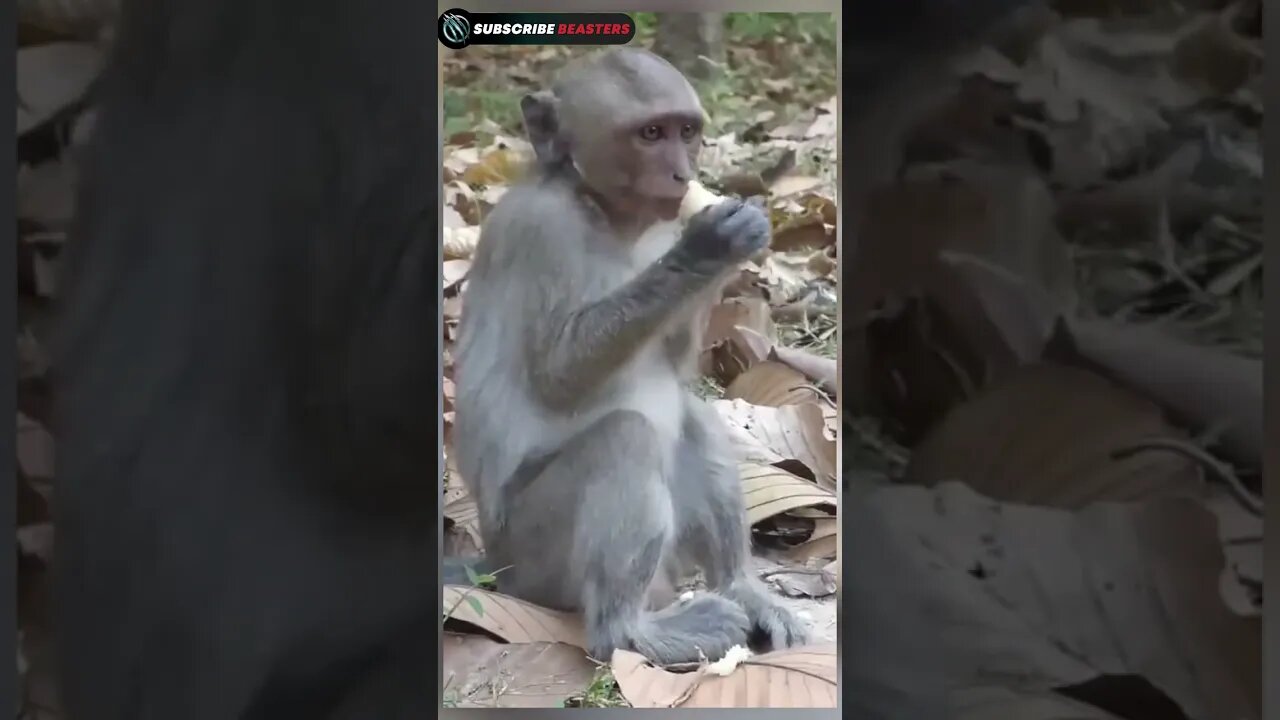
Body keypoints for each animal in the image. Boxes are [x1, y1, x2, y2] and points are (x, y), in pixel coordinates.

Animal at [449, 47, 810, 667]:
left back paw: (739, 587)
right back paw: (628, 631)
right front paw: (709, 248)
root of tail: (498, 569)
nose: (682, 174)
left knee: (689, 416)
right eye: (650, 134)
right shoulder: (541, 232)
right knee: (626, 438)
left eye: (686, 132)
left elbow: (676, 363)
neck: (604, 211)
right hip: (536, 557)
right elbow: (560, 374)